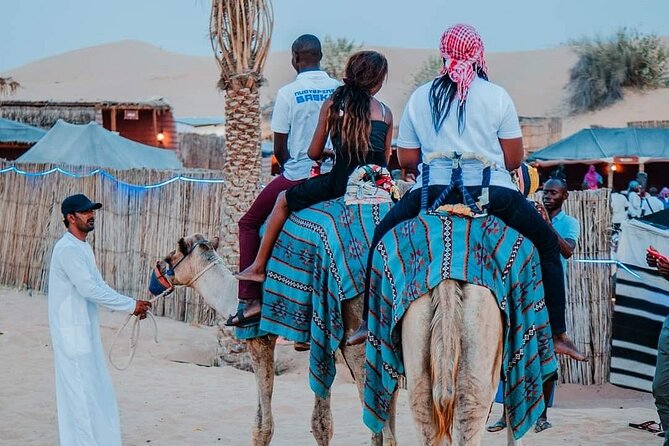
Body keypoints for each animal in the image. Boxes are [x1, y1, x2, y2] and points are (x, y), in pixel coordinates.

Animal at [157, 233, 396, 446]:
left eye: (174, 254)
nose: (158, 265)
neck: (232, 296)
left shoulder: (258, 339)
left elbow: (262, 425)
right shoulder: (321, 346)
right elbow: (322, 423)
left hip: (358, 342)